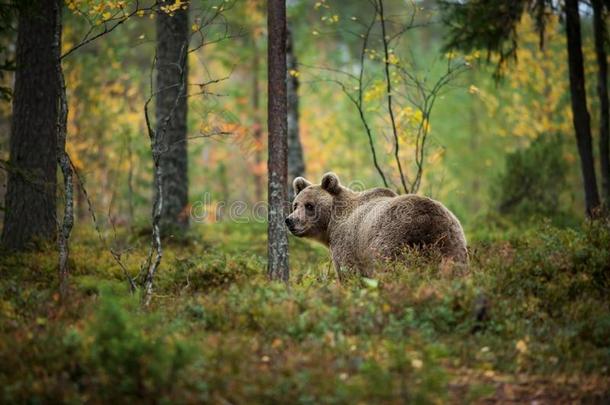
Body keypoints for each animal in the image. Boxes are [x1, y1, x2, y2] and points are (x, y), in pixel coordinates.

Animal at [284, 172, 466, 276]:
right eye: (295, 204)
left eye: (309, 205)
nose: (290, 220)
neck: (330, 225)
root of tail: (426, 219)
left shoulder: (346, 243)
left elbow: (348, 272)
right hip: (450, 240)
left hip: (392, 240)